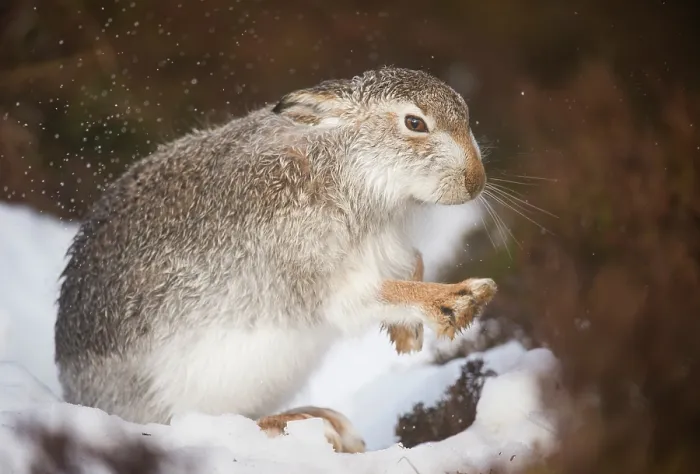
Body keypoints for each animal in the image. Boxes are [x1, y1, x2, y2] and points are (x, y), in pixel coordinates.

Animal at [54, 67, 497, 433]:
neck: (348, 166)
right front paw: (459, 301)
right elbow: (378, 294)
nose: (475, 181)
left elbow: (413, 263)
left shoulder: (389, 248)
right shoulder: (306, 269)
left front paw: (408, 338)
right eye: (414, 123)